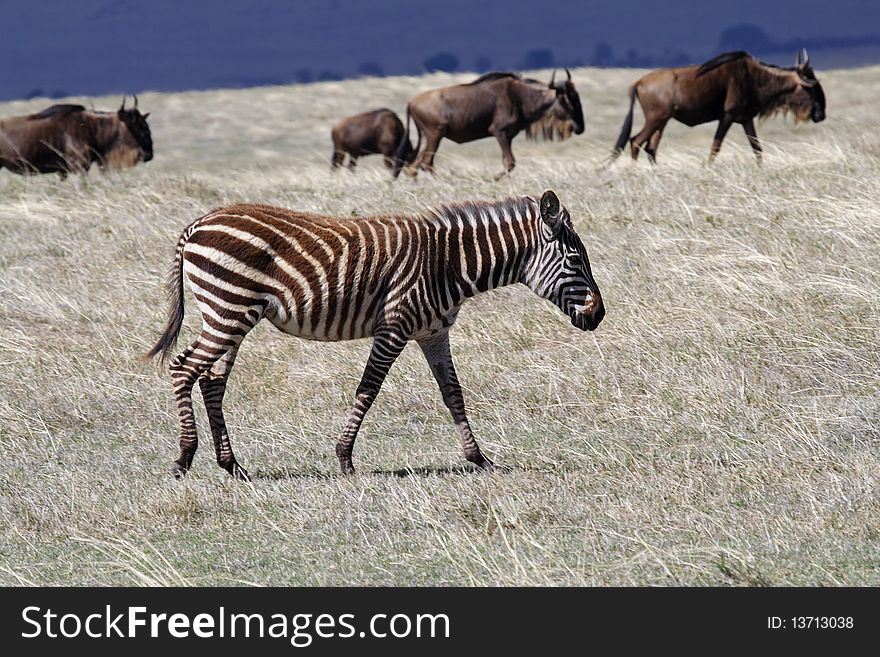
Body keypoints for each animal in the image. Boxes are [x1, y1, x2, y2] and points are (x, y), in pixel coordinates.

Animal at [148, 187, 604, 480]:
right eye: (575, 259)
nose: (599, 314)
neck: (448, 263)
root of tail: (197, 225)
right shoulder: (394, 326)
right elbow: (368, 389)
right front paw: (345, 459)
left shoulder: (433, 333)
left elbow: (453, 392)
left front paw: (479, 457)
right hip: (228, 309)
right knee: (183, 369)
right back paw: (183, 459)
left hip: (229, 315)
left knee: (212, 380)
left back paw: (232, 466)